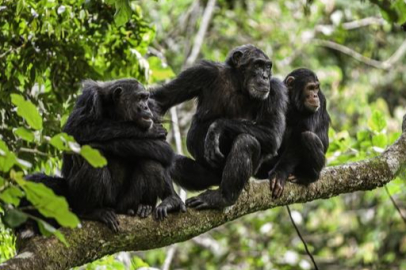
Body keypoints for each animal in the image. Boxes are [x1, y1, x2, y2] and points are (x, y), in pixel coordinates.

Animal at [151, 44, 288, 210]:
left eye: (267, 67)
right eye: (258, 65)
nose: (265, 76)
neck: (238, 84)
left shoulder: (275, 90)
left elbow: (272, 132)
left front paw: (216, 128)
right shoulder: (202, 72)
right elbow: (160, 100)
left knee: (246, 142)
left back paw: (223, 197)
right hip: (207, 176)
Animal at [256, 67, 330, 198]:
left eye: (316, 88)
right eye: (310, 88)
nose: (315, 95)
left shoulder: (321, 99)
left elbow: (299, 136)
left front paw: (279, 174)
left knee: (308, 137)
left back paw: (307, 176)